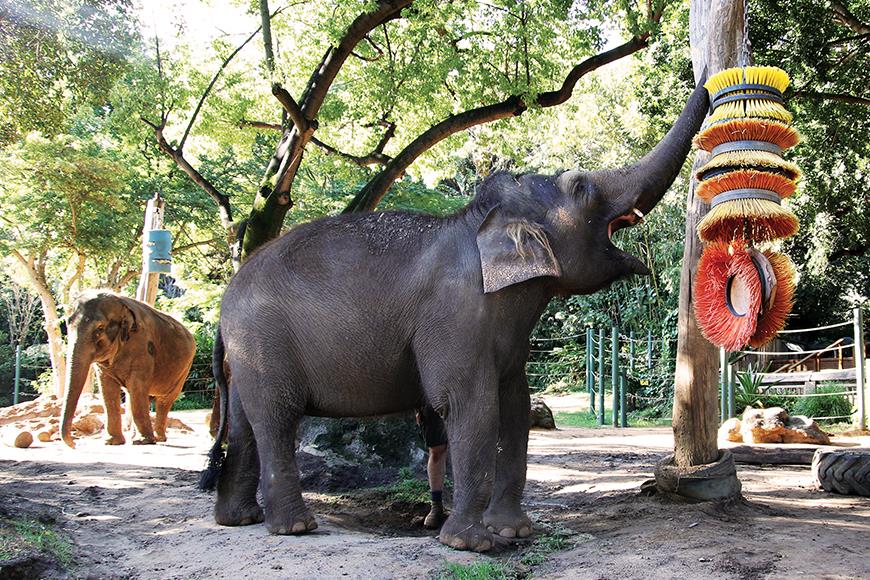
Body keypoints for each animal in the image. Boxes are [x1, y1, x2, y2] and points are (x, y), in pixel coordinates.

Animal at [61, 290, 196, 448]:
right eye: (67, 323)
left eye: (100, 328)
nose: (74, 444)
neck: (121, 305)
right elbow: (107, 389)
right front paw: (111, 442)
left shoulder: (142, 347)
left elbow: (137, 385)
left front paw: (143, 442)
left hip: (184, 369)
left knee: (164, 400)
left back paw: (157, 438)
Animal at [204, 78, 716, 552]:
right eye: (581, 187)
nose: (710, 81)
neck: (481, 221)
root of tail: (225, 304)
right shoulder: (455, 314)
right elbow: (469, 405)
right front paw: (470, 543)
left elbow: (514, 405)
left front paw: (514, 530)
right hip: (263, 342)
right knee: (275, 419)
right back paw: (295, 527)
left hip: (247, 354)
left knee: (244, 424)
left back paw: (239, 520)